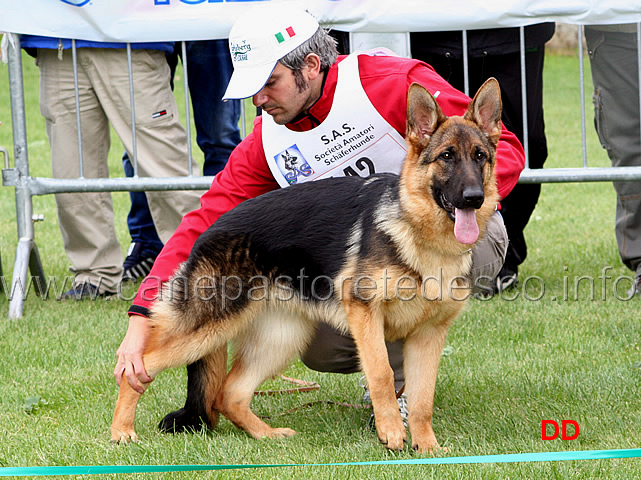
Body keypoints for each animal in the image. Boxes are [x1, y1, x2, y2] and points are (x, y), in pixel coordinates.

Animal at [111, 77, 500, 452]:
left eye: (480, 156)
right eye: (446, 156)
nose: (474, 198)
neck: (421, 235)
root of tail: (206, 231)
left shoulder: (428, 335)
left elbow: (423, 398)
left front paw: (426, 446)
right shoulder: (365, 314)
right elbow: (381, 373)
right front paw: (391, 433)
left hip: (282, 337)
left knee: (229, 394)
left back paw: (266, 435)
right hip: (208, 329)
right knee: (139, 368)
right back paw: (121, 432)